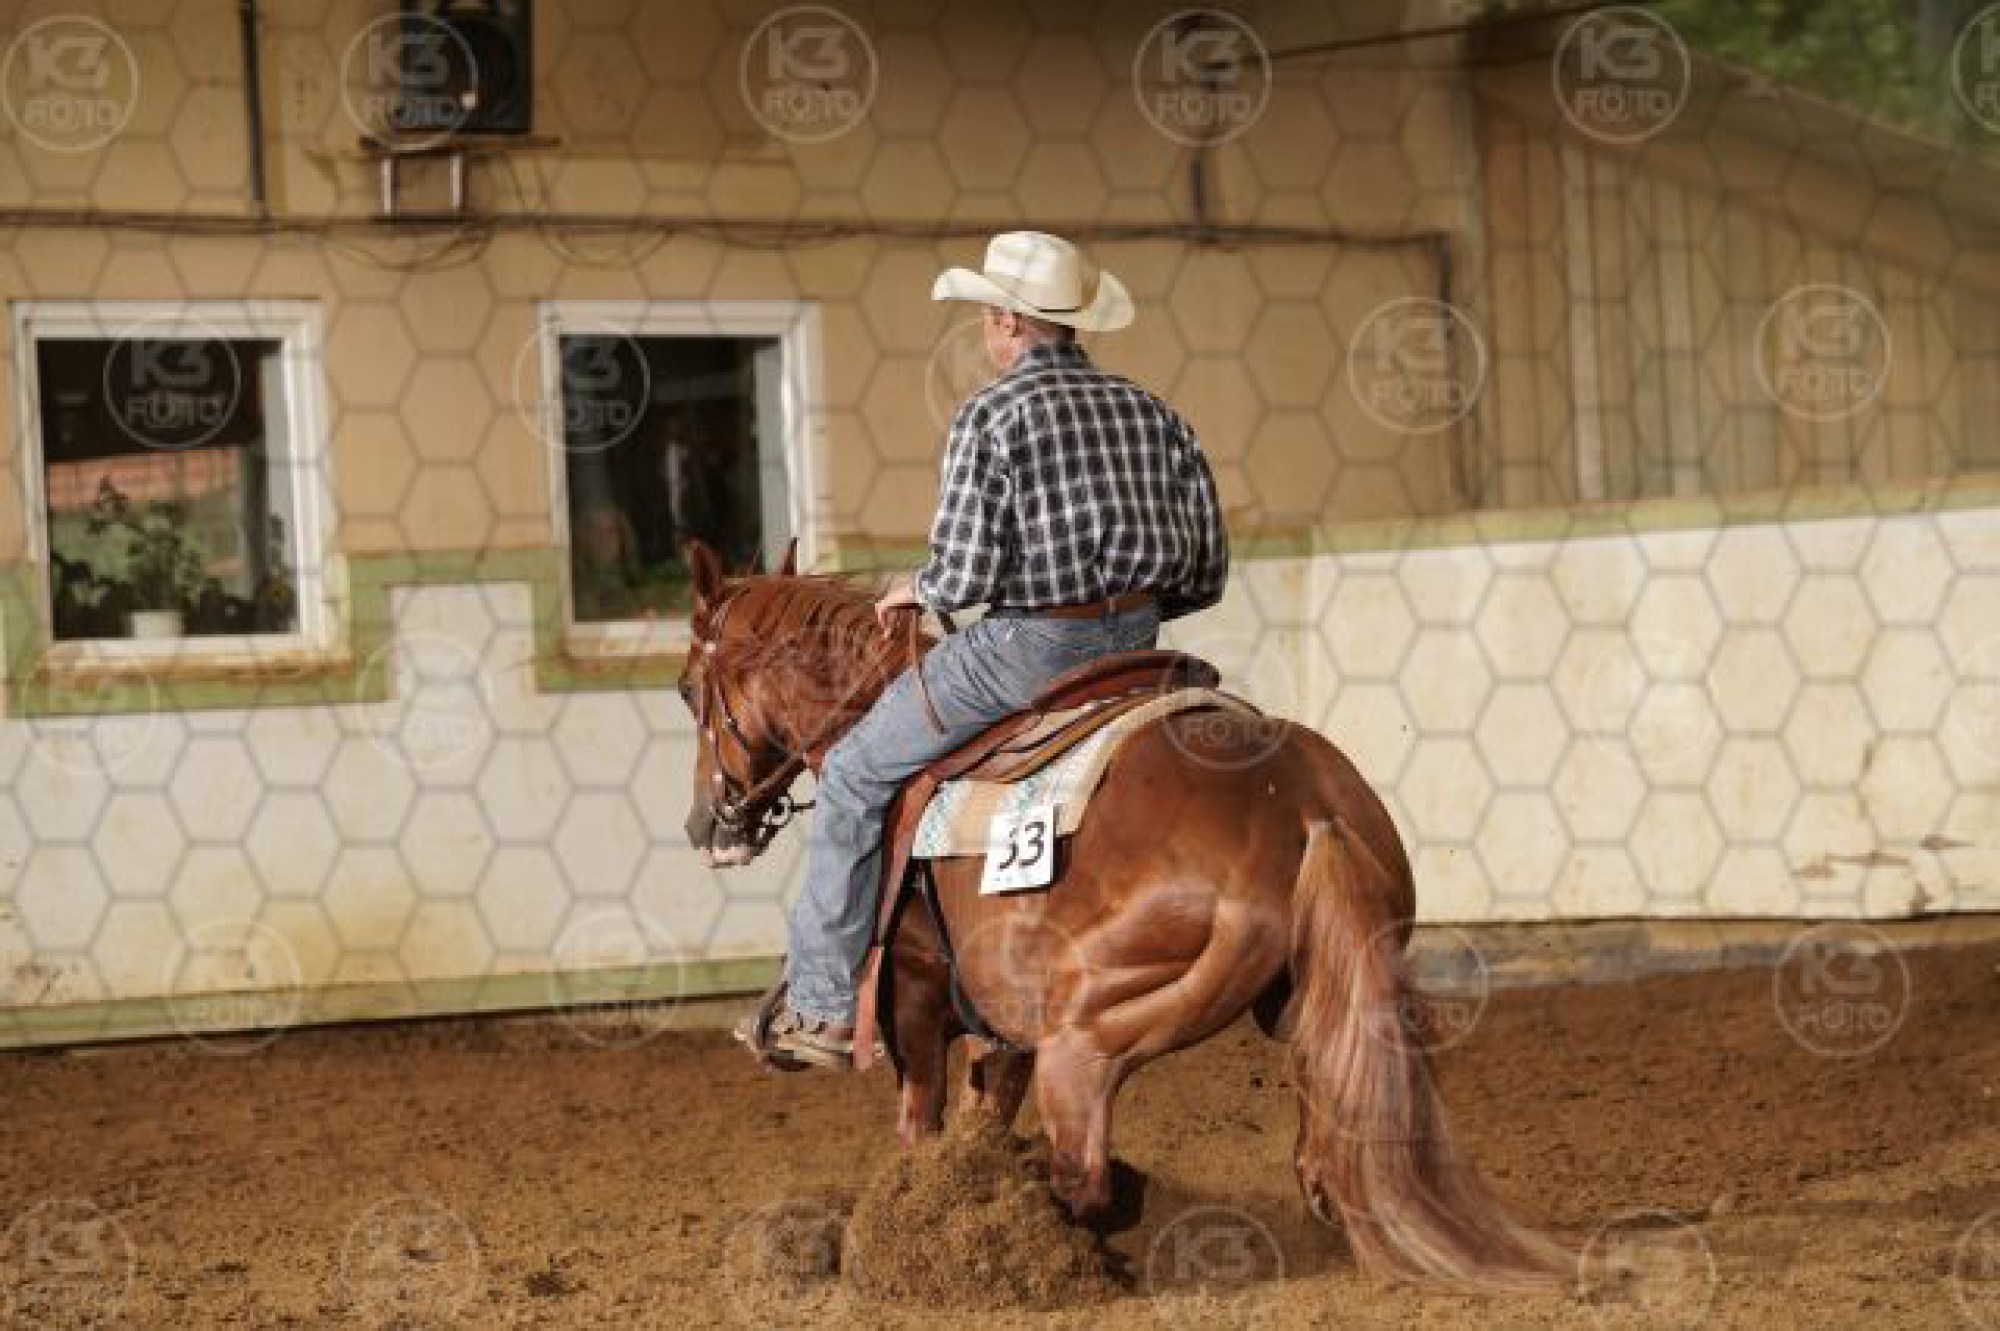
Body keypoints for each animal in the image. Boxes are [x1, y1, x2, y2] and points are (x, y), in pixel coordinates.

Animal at [676, 540, 1570, 1291]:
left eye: (688, 689)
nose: (706, 825)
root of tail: (1304, 807)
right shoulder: (999, 1023)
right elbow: (979, 1118)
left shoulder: (916, 994)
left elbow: (921, 1123)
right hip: (1316, 1002)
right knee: (1318, 1152)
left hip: (1089, 1032)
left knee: (1084, 1171)